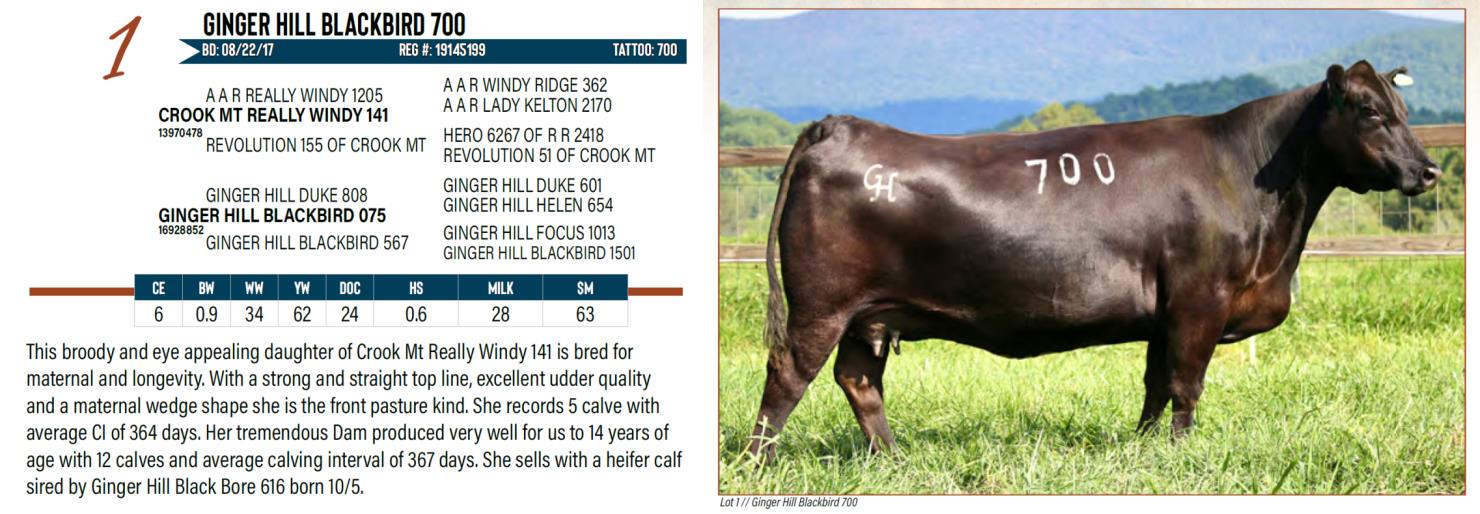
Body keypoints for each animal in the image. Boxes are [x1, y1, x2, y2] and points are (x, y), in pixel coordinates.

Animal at [747, 61, 1441, 459]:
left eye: (1405, 111)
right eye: (1371, 111)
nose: (1430, 170)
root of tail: (840, 125)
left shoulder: (1167, 313)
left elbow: (1156, 382)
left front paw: (1144, 451)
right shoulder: (1201, 299)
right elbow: (1187, 383)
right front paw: (1180, 456)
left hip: (870, 315)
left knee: (859, 381)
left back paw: (894, 459)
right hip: (821, 306)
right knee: (787, 376)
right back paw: (760, 462)